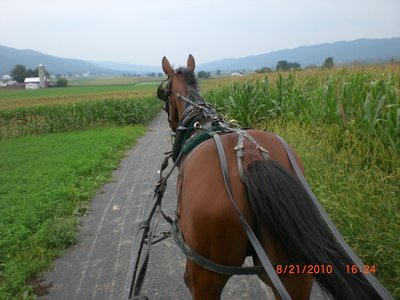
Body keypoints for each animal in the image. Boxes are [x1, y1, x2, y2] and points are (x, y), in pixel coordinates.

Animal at [159, 54, 388, 300]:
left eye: (165, 93)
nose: (171, 123)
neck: (200, 119)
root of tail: (249, 156)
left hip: (206, 273)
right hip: (291, 267)